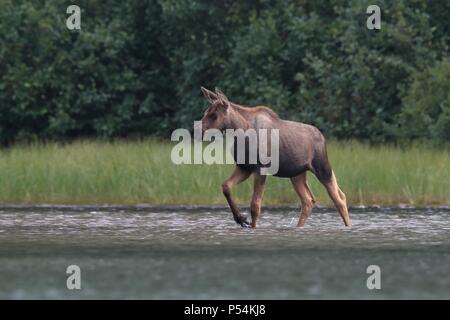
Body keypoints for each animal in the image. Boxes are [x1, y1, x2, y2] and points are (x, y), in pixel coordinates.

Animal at [200, 86, 352, 229]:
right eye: (205, 113)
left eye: (214, 115)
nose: (197, 131)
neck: (240, 132)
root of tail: (322, 137)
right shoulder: (244, 168)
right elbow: (226, 187)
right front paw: (241, 219)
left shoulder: (260, 168)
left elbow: (255, 206)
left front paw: (249, 224)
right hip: (297, 174)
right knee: (309, 200)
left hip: (322, 167)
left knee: (339, 198)